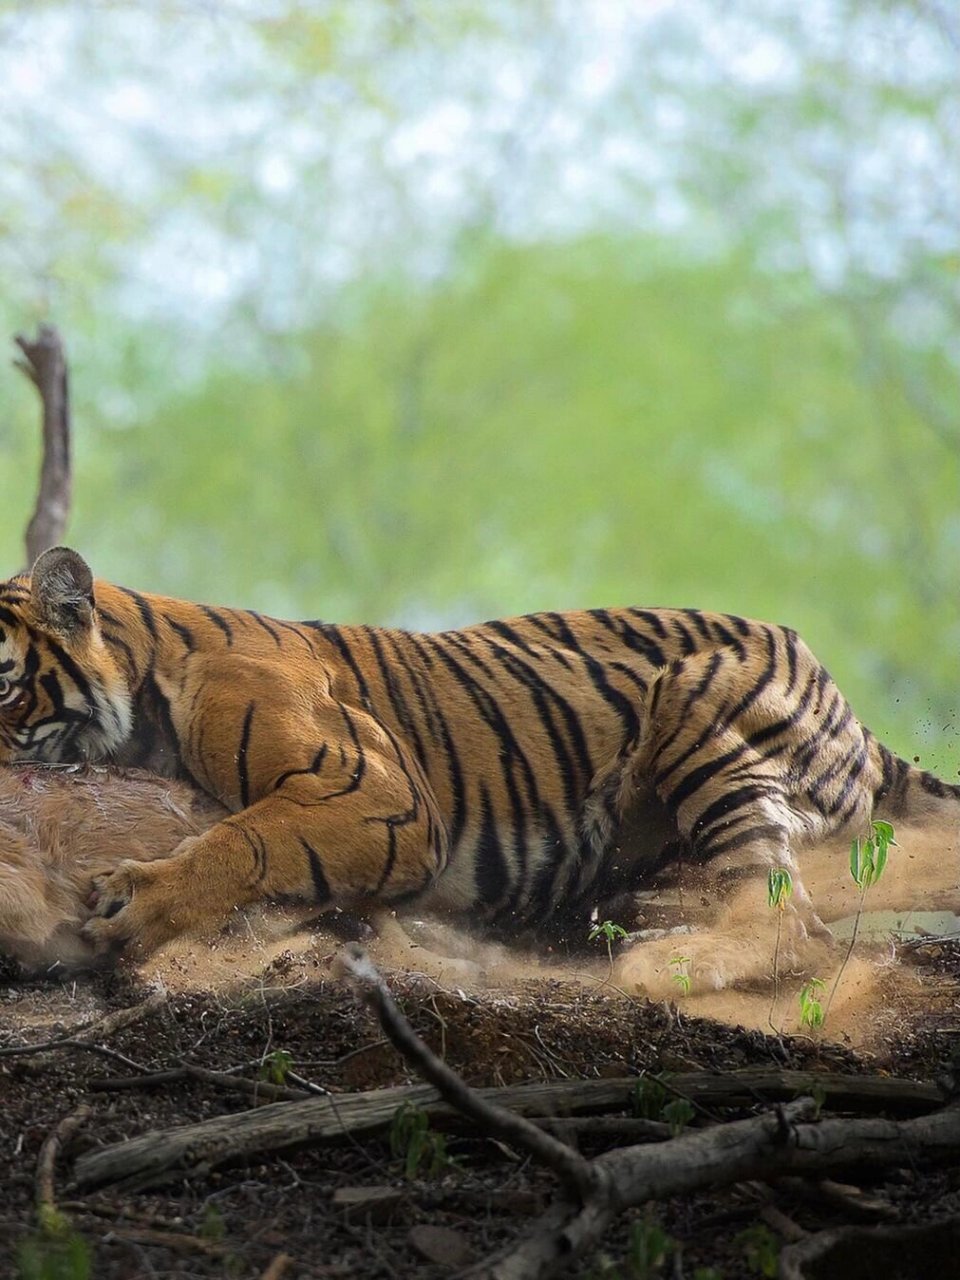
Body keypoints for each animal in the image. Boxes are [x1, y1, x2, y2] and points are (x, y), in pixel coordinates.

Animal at [0, 545, 957, 993]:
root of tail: (844, 699)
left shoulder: (379, 794)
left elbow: (247, 840)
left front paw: (136, 903)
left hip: (701, 704)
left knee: (794, 924)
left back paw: (662, 958)